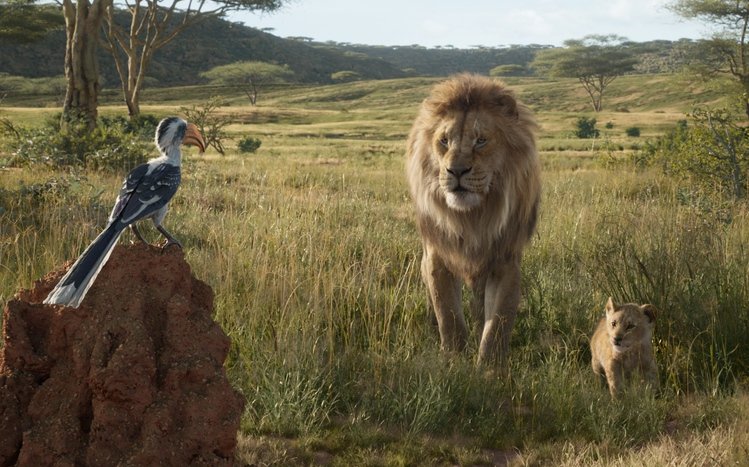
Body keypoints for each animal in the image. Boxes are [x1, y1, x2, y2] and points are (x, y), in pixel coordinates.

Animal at [405, 74, 541, 367]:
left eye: (480, 140)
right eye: (444, 141)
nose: (455, 171)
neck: (472, 218)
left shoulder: (505, 262)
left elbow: (497, 323)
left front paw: (490, 370)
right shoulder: (437, 257)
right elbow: (448, 315)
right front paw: (453, 361)